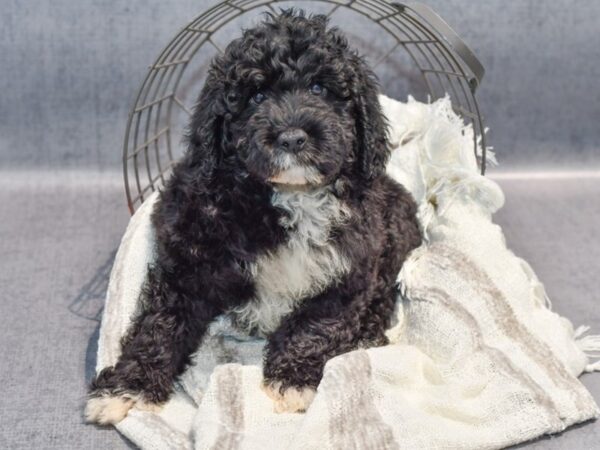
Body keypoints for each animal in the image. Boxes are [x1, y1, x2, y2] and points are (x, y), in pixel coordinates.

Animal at [85, 11, 422, 426]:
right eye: (257, 96)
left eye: (320, 89)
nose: (292, 138)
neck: (289, 197)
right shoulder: (189, 257)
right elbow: (160, 322)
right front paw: (127, 386)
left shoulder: (350, 270)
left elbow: (315, 323)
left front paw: (292, 380)